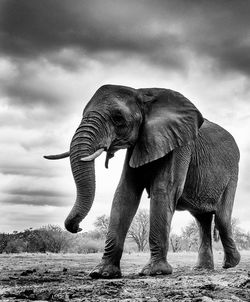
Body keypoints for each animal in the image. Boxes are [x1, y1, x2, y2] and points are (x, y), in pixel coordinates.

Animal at [44, 84, 240, 278]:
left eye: (118, 118)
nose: (78, 229)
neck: (142, 93)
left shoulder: (181, 144)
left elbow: (163, 189)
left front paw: (155, 272)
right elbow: (125, 192)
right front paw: (102, 273)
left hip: (232, 174)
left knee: (221, 218)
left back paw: (231, 264)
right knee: (202, 219)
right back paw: (203, 269)